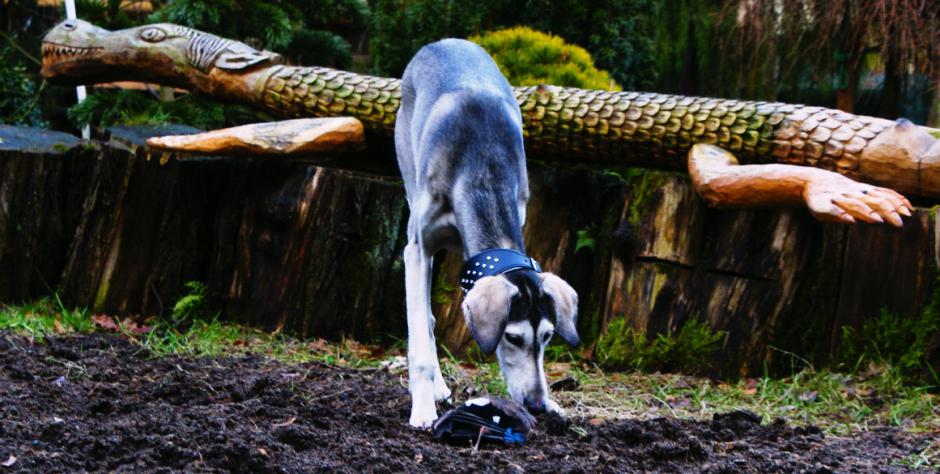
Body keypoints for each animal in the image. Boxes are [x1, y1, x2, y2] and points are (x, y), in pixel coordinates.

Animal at [392, 39, 580, 428]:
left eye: (548, 337)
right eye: (512, 337)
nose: (537, 405)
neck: (484, 169)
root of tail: (445, 41)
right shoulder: (416, 249)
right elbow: (420, 337)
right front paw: (422, 408)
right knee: (425, 321)